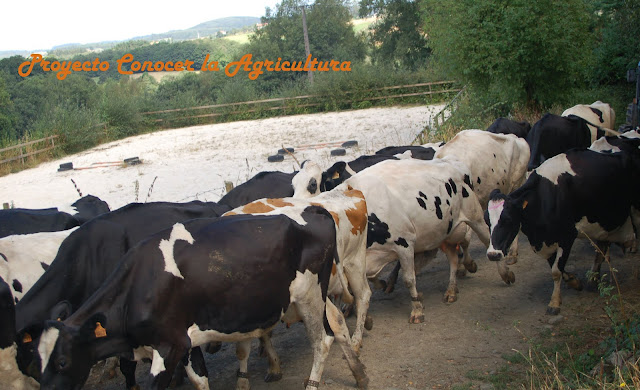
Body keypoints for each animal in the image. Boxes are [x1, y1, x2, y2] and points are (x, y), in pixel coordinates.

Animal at [30, 210, 368, 390]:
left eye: (61, 361)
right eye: (36, 362)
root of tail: (313, 211)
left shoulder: (168, 347)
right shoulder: (186, 342)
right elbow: (200, 380)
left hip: (309, 296)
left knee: (322, 341)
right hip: (311, 299)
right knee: (336, 325)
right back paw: (359, 374)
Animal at [488, 149, 636, 314]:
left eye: (508, 220)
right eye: (487, 221)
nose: (493, 254)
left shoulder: (567, 236)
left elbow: (556, 270)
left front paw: (554, 303)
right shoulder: (547, 242)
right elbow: (557, 268)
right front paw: (574, 281)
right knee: (601, 249)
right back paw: (593, 280)